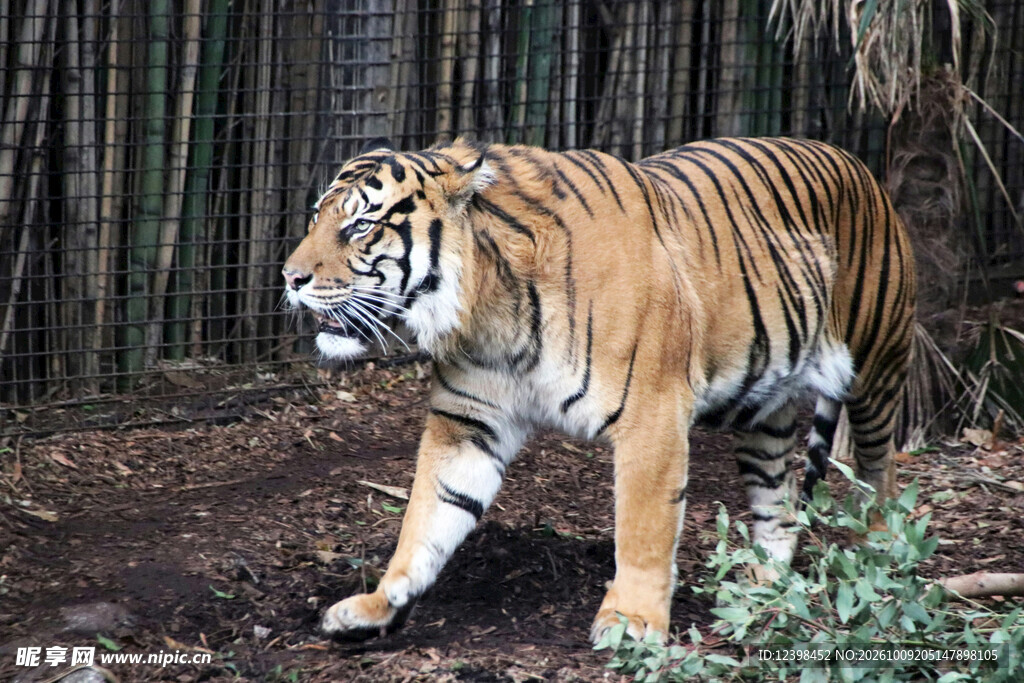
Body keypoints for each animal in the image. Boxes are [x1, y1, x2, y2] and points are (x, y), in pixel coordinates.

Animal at [282, 136, 916, 644]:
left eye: (361, 225)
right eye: (316, 217)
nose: (290, 277)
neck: (489, 308)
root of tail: (860, 165)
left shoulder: (653, 417)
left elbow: (643, 528)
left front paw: (631, 622)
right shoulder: (466, 424)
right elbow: (426, 520)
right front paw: (377, 605)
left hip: (877, 366)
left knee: (881, 467)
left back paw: (882, 554)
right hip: (765, 411)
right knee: (778, 501)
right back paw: (760, 587)